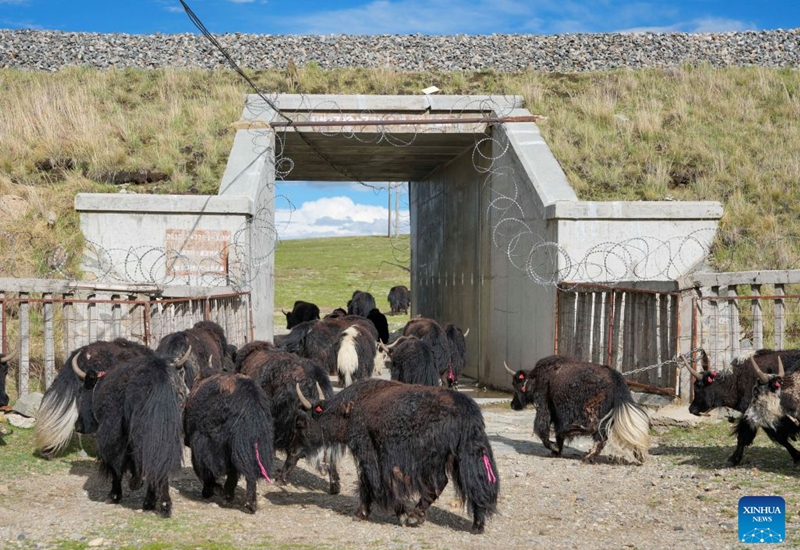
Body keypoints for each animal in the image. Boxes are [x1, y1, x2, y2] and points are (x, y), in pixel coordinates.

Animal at [72, 346, 190, 517]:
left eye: (81, 393)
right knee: (159, 461)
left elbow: (115, 464)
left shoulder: (111, 435)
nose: (78, 426)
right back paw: (157, 503)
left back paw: (152, 498)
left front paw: (114, 495)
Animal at [295, 378, 499, 534]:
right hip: (465, 455)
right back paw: (477, 525)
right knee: (475, 484)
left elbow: (373, 483)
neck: (349, 409)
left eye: (302, 422)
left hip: (433, 458)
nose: (296, 451)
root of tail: (465, 409)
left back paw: (415, 517)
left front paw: (366, 513)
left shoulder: (367, 451)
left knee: (440, 482)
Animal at [506, 356, 650, 464]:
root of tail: (615, 377)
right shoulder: (557, 413)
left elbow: (542, 430)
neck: (535, 378)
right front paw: (557, 450)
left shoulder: (544, 406)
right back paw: (590, 456)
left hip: (591, 407)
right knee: (601, 435)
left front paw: (554, 447)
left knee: (593, 427)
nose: (512, 405)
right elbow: (556, 434)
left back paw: (571, 432)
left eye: (515, 384)